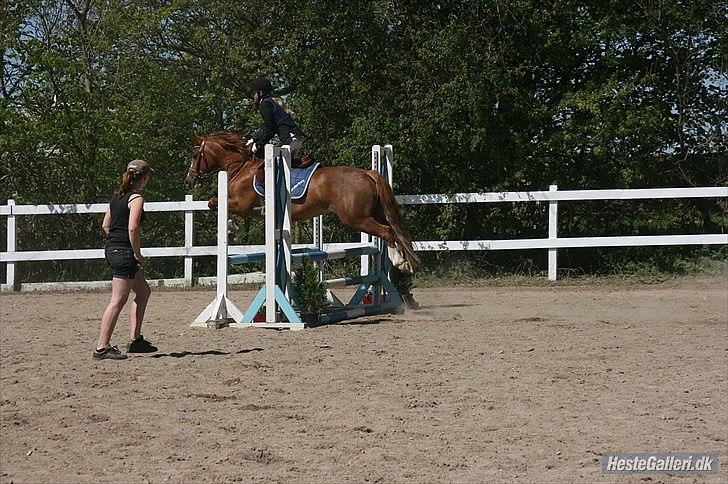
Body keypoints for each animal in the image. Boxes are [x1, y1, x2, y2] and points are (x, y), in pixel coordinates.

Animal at [183, 131, 420, 272]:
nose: (189, 180)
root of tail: (369, 173)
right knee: (392, 229)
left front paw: (230, 228)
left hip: (356, 218)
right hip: (375, 212)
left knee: (387, 232)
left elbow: (214, 202)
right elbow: (216, 204)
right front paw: (231, 228)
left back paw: (399, 262)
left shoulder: (242, 205)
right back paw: (404, 263)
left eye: (195, 155)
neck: (241, 166)